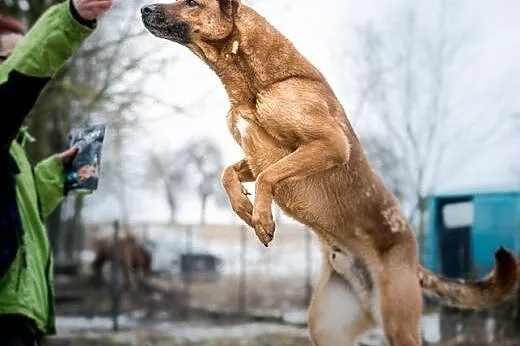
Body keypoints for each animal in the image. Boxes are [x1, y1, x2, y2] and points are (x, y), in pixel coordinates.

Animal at [140, 1, 516, 344]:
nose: (144, 8)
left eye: (191, 2)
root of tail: (411, 256)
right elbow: (227, 174)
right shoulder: (254, 155)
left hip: (399, 321)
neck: (257, 85)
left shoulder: (329, 144)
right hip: (326, 328)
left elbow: (268, 176)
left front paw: (262, 217)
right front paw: (245, 209)